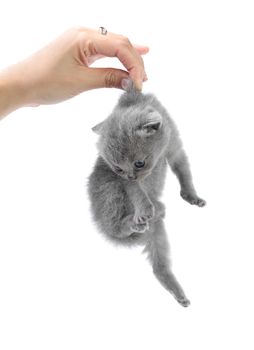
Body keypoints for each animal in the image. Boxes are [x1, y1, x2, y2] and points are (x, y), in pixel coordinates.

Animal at [88, 86, 205, 308]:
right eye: (118, 168)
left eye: (139, 163)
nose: (130, 175)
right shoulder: (123, 181)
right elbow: (138, 192)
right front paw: (145, 208)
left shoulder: (174, 148)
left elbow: (183, 170)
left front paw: (191, 195)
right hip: (109, 190)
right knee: (115, 228)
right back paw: (138, 219)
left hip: (157, 234)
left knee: (159, 267)